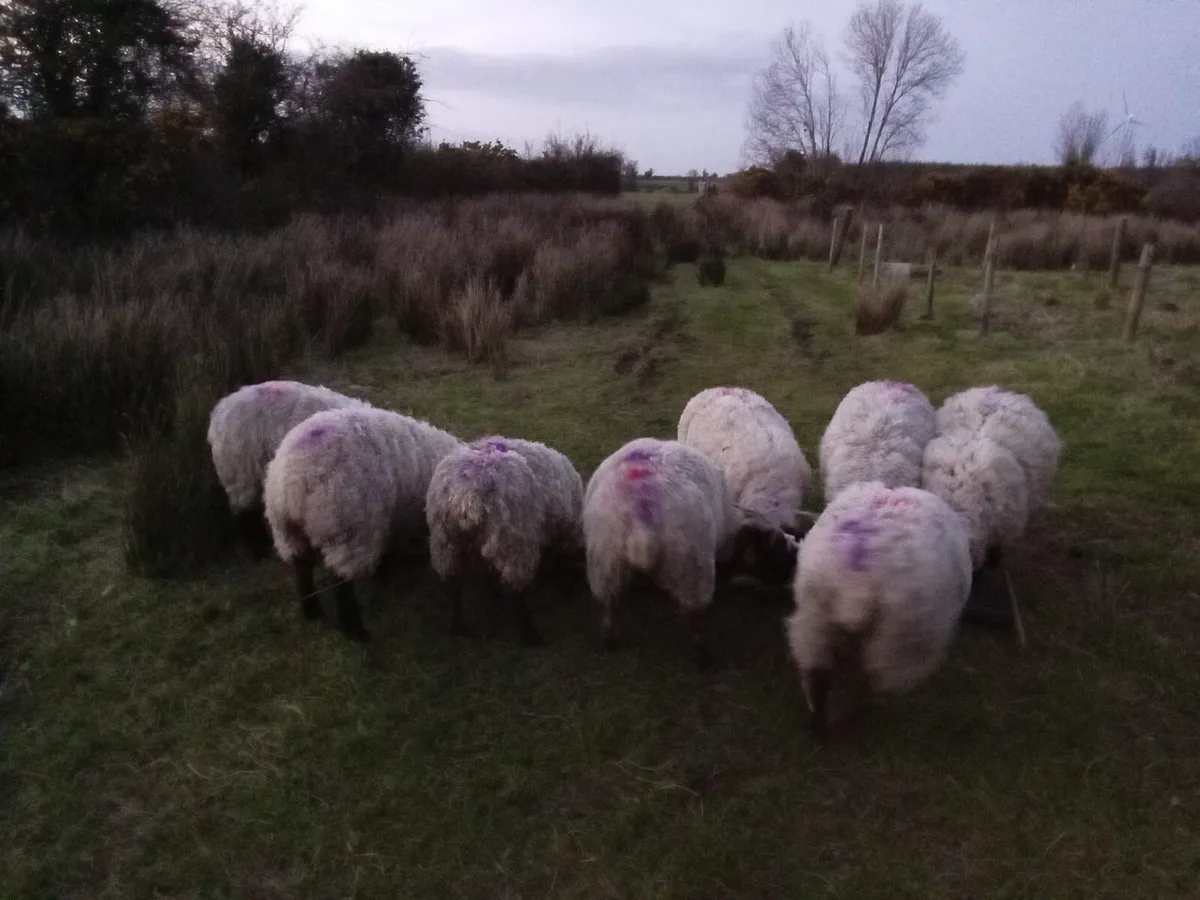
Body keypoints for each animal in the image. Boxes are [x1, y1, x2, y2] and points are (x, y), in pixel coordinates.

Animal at [263, 406, 463, 643]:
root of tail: (293, 481)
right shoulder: (385, 522)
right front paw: (383, 577)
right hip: (347, 530)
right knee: (342, 584)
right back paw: (357, 632)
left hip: (287, 530)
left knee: (302, 568)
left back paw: (312, 611)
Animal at [425, 436, 584, 645]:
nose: (570, 594)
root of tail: (467, 497)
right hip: (513, 543)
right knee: (517, 591)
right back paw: (530, 633)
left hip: (445, 541)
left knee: (454, 584)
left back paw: (459, 626)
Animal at [582, 437, 799, 667]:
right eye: (774, 552)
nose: (797, 549)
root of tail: (641, 516)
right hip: (691, 568)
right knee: (694, 616)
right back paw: (703, 656)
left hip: (605, 561)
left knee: (609, 604)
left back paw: (609, 641)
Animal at [784, 479, 972, 737]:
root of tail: (857, 580)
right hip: (898, 640)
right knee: (869, 677)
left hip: (814, 620)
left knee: (817, 676)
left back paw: (820, 728)